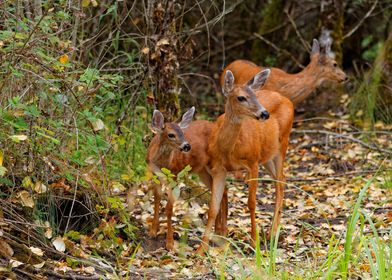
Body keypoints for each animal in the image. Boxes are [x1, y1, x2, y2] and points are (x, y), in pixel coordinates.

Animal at [145, 106, 228, 249]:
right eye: (171, 134)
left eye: (183, 133)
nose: (187, 146)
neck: (162, 164)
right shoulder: (155, 175)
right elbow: (156, 200)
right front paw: (153, 231)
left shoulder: (175, 175)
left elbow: (169, 208)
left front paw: (170, 243)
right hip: (202, 170)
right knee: (221, 190)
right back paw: (219, 230)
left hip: (215, 165)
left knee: (224, 188)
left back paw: (223, 230)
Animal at [196, 69, 294, 254]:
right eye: (241, 97)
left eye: (255, 95)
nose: (264, 114)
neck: (229, 150)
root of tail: (286, 99)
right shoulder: (219, 169)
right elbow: (213, 207)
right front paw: (200, 249)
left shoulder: (252, 162)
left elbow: (251, 203)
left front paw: (254, 241)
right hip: (267, 155)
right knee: (281, 179)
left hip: (282, 144)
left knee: (280, 182)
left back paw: (272, 234)